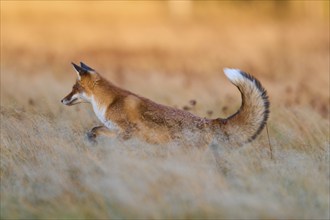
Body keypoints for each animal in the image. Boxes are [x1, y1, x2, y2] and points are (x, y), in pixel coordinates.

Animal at [60, 62, 270, 147]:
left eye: (73, 88)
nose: (61, 100)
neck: (108, 102)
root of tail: (211, 121)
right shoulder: (115, 130)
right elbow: (94, 130)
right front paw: (91, 140)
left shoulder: (129, 132)